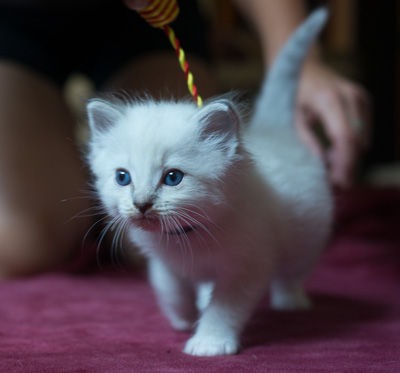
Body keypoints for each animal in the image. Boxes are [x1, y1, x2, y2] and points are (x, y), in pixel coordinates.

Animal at [86, 8, 332, 356]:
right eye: (123, 178)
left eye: (172, 178)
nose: (141, 204)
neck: (186, 239)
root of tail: (274, 130)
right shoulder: (163, 263)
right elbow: (170, 289)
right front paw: (183, 318)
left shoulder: (247, 264)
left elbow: (224, 308)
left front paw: (209, 342)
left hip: (306, 237)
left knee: (291, 272)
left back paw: (291, 301)